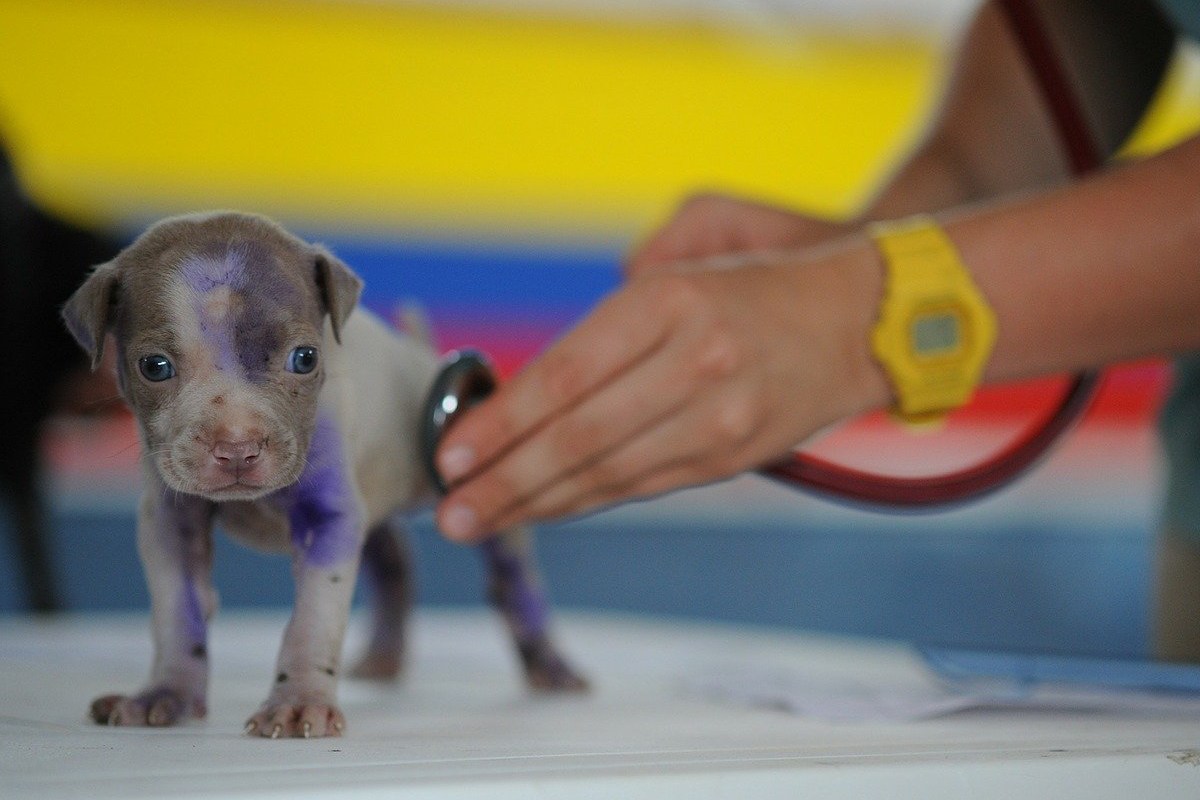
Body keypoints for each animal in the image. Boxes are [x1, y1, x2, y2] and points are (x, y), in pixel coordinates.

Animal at [62, 211, 585, 738]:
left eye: (306, 358)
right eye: (155, 366)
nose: (237, 447)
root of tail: (419, 355)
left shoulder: (329, 519)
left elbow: (312, 620)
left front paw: (297, 701)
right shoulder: (170, 523)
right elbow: (177, 612)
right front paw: (167, 694)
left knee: (512, 577)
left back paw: (551, 665)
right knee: (394, 558)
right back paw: (384, 657)